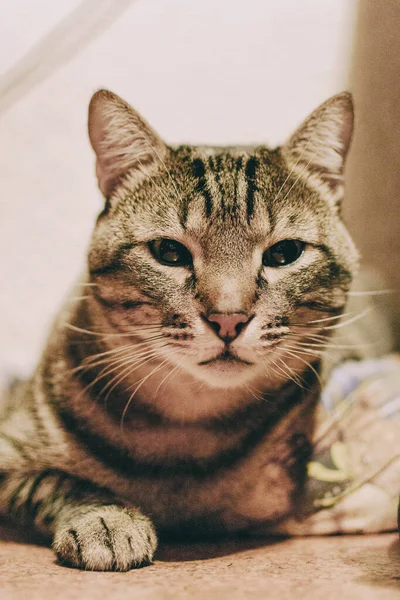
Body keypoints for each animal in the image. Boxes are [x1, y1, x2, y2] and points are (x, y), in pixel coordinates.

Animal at [0, 90, 394, 572]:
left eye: (284, 253)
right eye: (168, 252)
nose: (228, 317)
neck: (184, 429)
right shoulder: (9, 456)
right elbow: (58, 482)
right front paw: (105, 519)